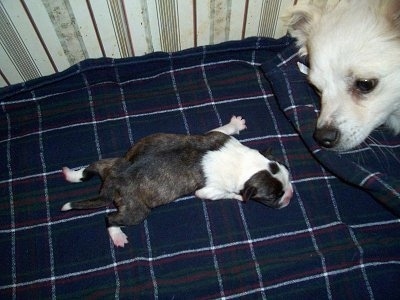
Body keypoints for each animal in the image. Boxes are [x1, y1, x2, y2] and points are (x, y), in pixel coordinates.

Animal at [62, 116, 294, 247]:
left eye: (289, 175)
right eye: (273, 197)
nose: (290, 196)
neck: (245, 163)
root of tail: (113, 181)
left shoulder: (216, 135)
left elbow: (222, 129)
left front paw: (235, 123)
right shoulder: (208, 191)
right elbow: (229, 194)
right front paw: (238, 197)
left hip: (111, 163)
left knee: (89, 169)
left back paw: (70, 174)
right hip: (136, 211)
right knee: (110, 218)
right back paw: (118, 236)